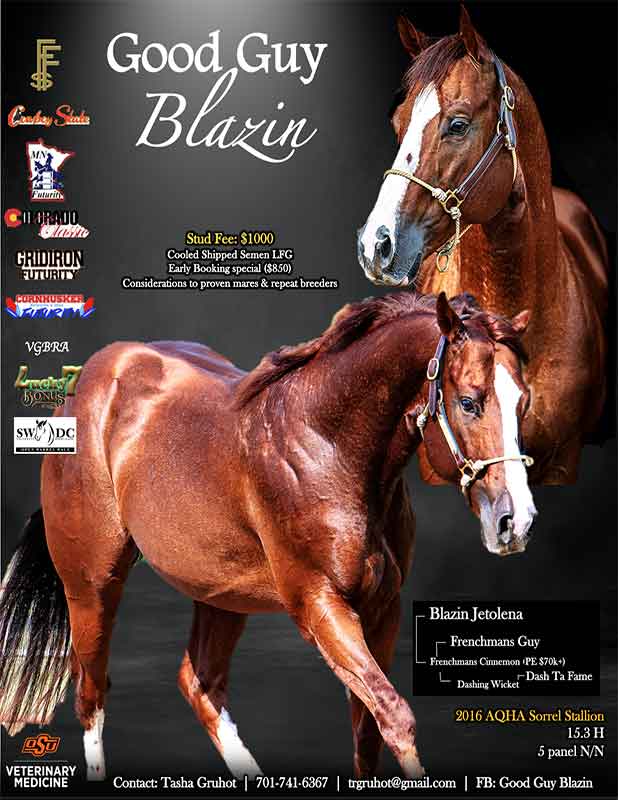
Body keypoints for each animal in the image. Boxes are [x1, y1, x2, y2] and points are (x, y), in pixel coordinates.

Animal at [0, 291, 536, 781]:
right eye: (468, 402)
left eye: (524, 402)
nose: (515, 521)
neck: (328, 445)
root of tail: (86, 384)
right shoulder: (319, 607)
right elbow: (395, 716)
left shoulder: (382, 608)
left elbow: (369, 730)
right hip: (92, 586)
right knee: (91, 694)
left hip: (220, 595)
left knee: (200, 685)